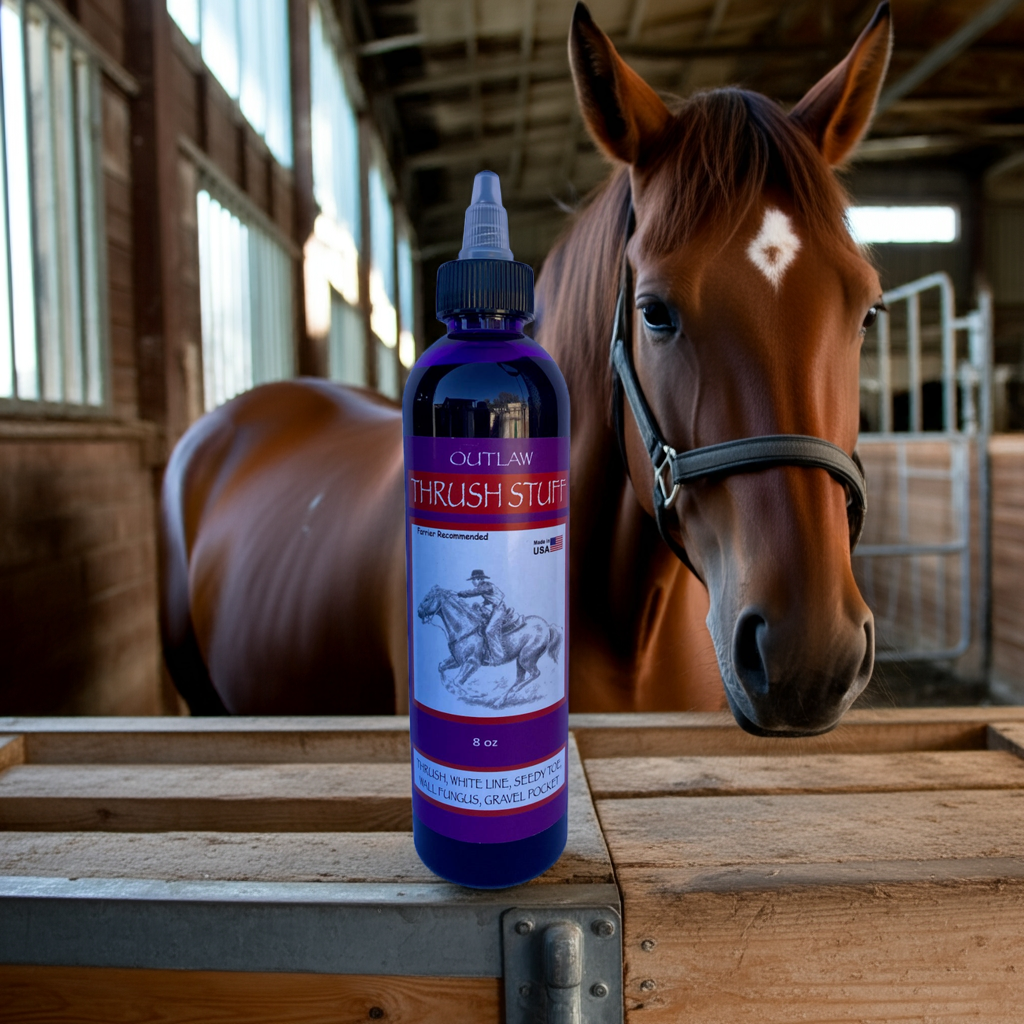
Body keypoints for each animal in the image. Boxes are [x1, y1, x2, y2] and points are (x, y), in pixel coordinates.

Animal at [417, 585, 563, 705]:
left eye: (427, 598)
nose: (418, 612)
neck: (465, 628)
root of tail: (547, 626)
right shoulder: (457, 660)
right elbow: (441, 667)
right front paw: (447, 688)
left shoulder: (472, 663)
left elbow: (457, 681)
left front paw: (477, 694)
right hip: (520, 660)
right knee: (519, 678)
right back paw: (500, 700)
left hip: (526, 658)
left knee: (534, 674)